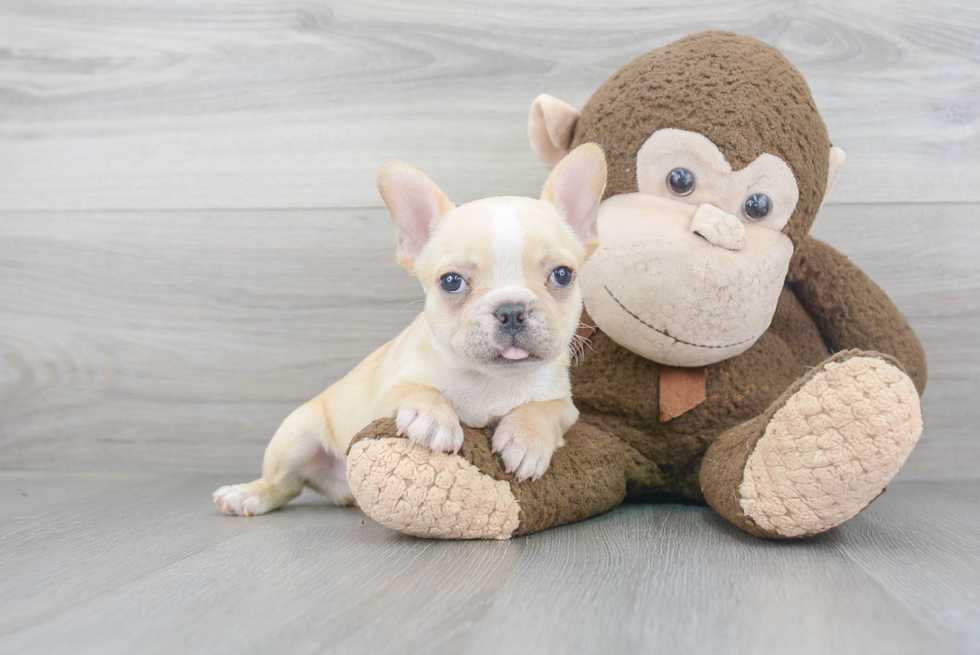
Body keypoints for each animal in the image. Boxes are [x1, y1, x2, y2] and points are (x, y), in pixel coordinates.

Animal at [212, 145, 604, 516]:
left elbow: (544, 409)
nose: (511, 310)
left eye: (562, 275)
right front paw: (432, 419)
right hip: (295, 436)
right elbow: (419, 389)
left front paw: (525, 440)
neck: (491, 380)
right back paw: (246, 494)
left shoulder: (565, 406)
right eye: (451, 282)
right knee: (282, 484)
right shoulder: (388, 391)